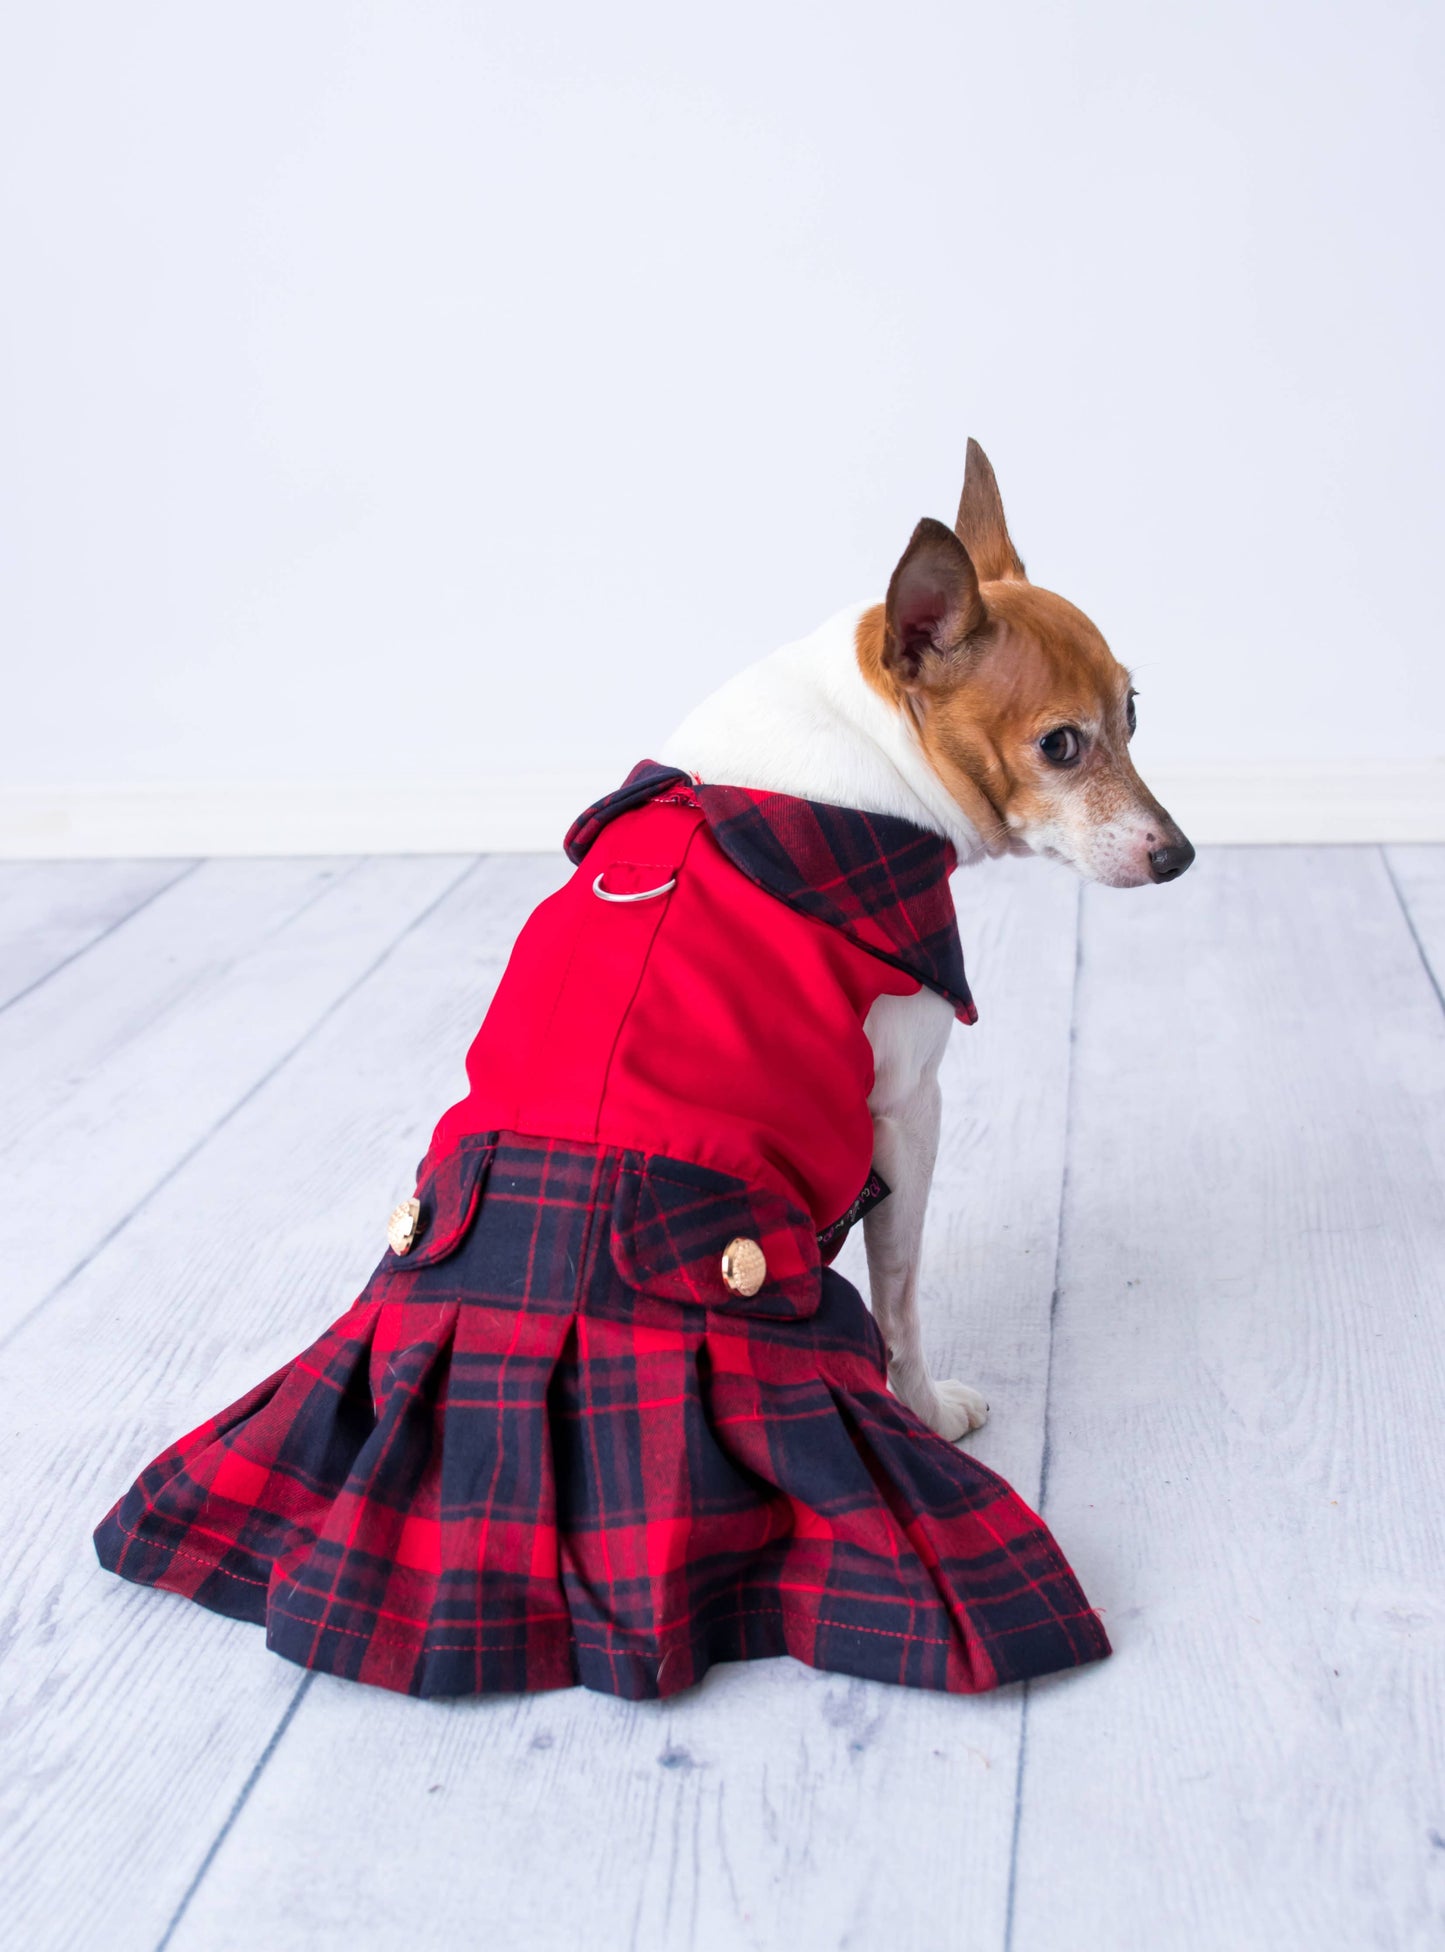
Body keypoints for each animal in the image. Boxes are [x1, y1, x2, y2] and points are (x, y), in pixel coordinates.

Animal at [660, 447, 1187, 1452]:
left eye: (1133, 713)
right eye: (1059, 746)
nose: (1177, 855)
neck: (868, 746)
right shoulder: (906, 1111)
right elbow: (898, 1299)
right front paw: (925, 1409)